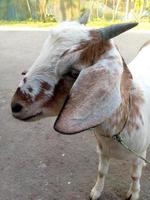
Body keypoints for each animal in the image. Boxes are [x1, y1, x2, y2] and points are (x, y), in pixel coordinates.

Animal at [10, 13, 149, 199]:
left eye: (74, 72)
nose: (16, 106)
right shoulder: (103, 150)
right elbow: (101, 171)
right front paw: (96, 191)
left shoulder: (138, 155)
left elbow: (135, 175)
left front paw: (133, 194)